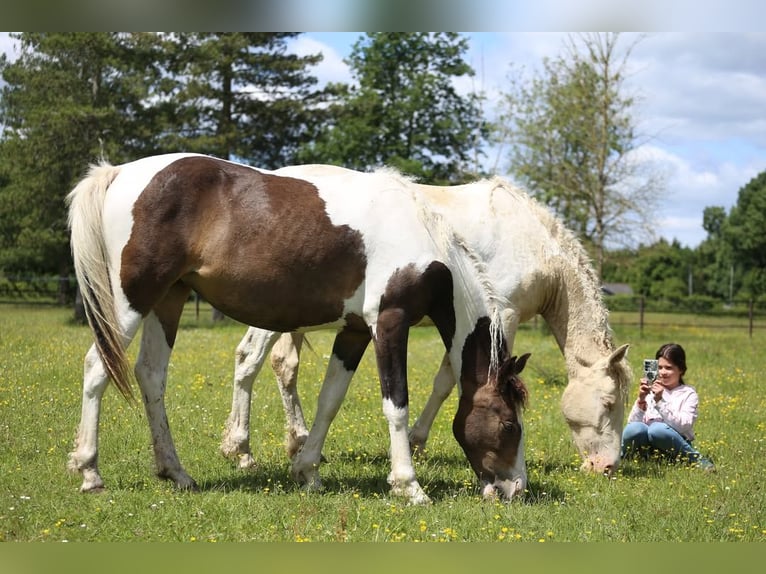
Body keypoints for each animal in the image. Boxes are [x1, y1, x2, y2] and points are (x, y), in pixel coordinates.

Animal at [66, 154, 542, 504]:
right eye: (509, 426)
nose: (515, 489)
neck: (423, 240)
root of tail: (118, 173)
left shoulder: (353, 332)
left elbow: (330, 400)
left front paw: (307, 470)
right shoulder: (389, 324)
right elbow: (397, 405)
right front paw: (409, 487)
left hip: (169, 300)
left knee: (151, 375)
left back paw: (176, 472)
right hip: (131, 302)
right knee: (97, 368)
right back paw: (90, 472)